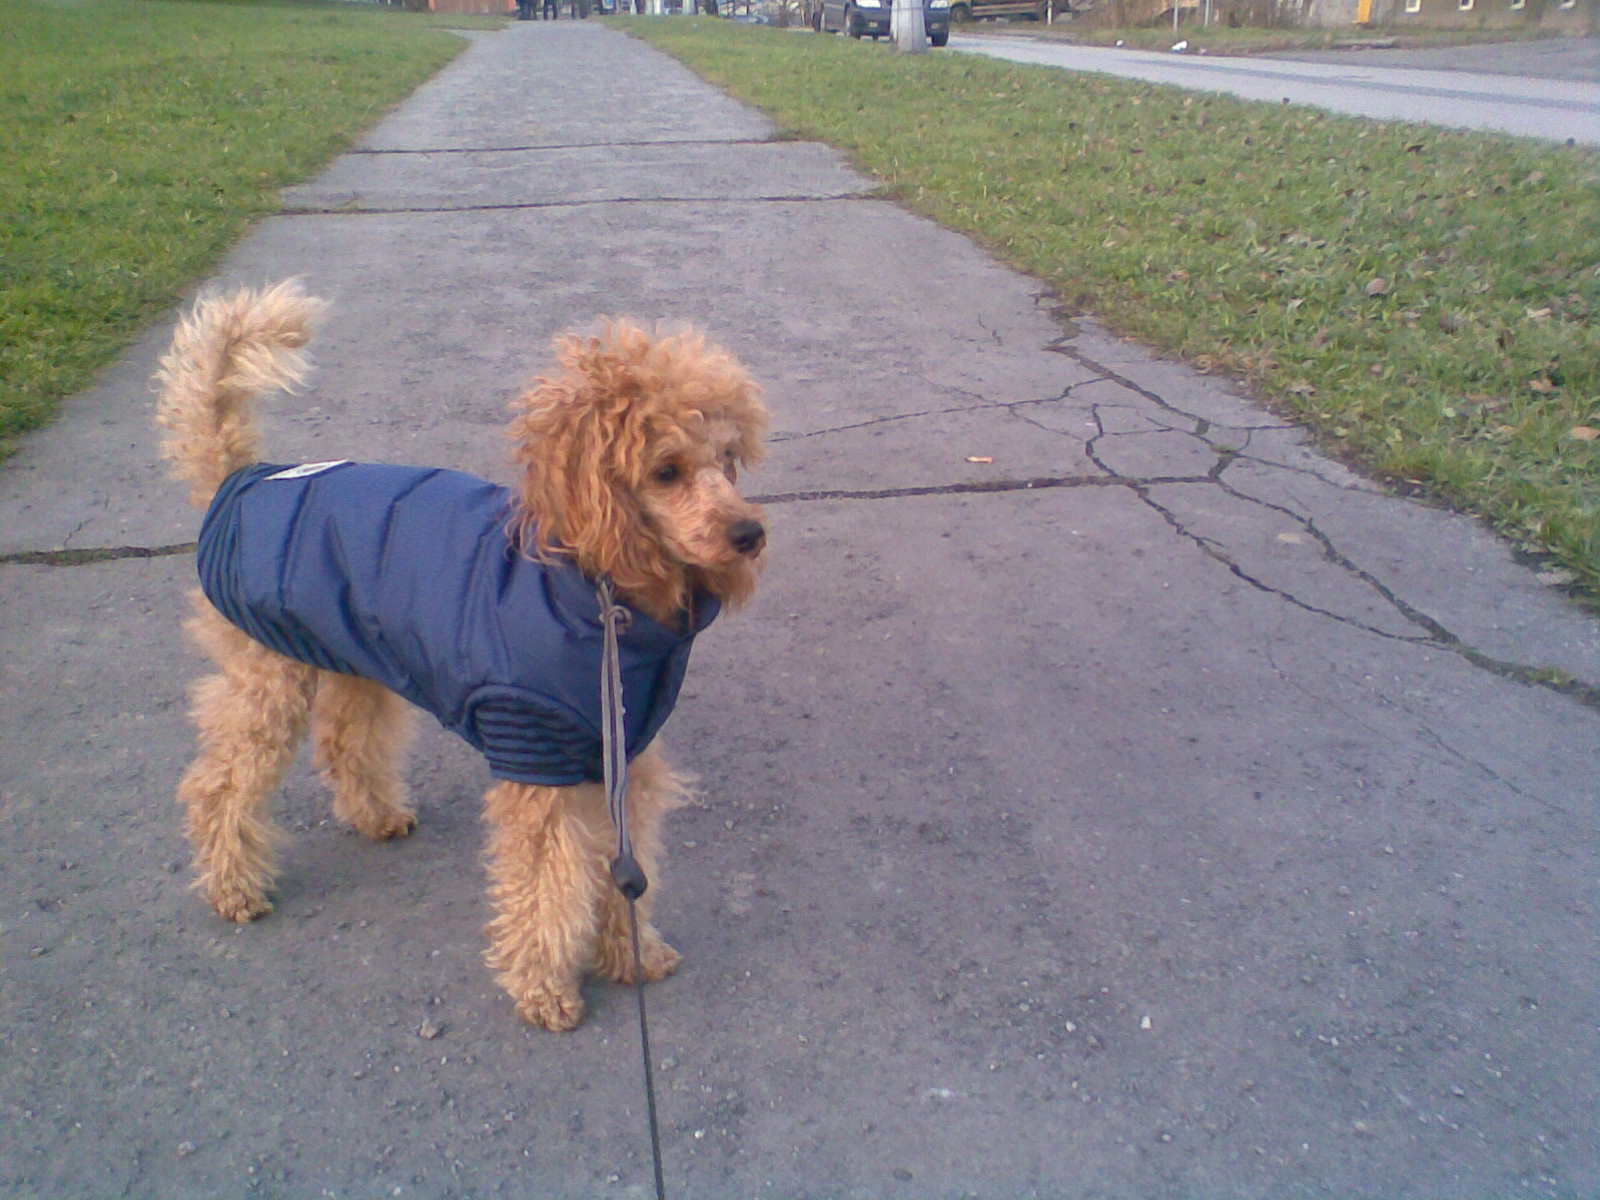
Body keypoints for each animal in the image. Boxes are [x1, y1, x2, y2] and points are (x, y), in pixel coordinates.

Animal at [155, 280, 767, 1030]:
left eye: (728, 460)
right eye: (667, 471)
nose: (749, 534)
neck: (594, 587)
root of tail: (240, 481)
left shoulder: (619, 753)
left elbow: (621, 865)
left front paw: (630, 952)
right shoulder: (534, 749)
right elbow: (545, 882)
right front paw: (544, 988)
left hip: (351, 656)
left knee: (345, 741)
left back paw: (376, 817)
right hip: (267, 672)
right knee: (219, 784)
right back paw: (233, 887)